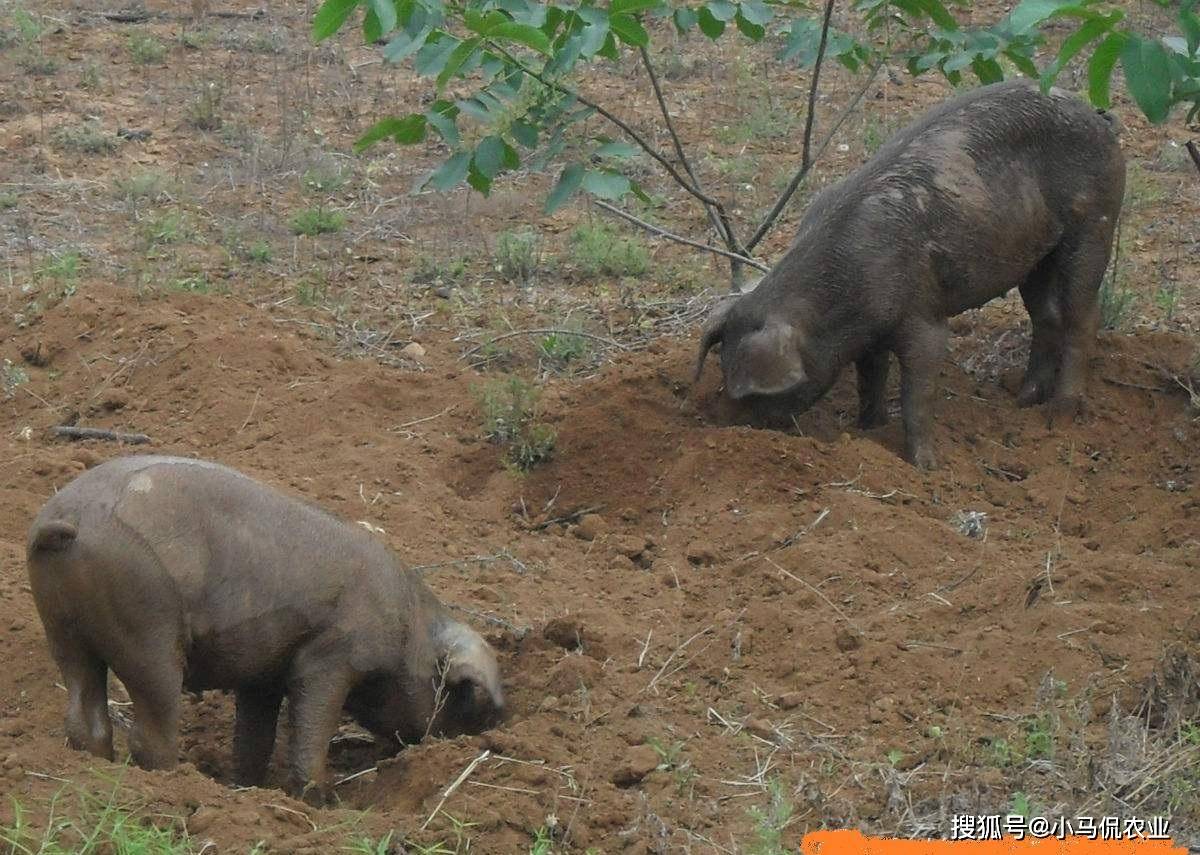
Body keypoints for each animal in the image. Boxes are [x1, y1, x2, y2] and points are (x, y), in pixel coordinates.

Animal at [24, 453, 501, 802]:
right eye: (461, 698)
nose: (492, 725)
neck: (410, 631)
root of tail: (72, 518)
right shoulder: (330, 657)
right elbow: (312, 721)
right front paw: (321, 799)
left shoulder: (262, 675)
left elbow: (255, 735)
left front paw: (247, 786)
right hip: (146, 629)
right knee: (150, 730)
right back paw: (182, 783)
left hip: (60, 627)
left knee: (84, 713)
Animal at [696, 79, 1123, 468]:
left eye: (752, 394)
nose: (725, 428)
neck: (840, 294)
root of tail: (1098, 117)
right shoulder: (870, 334)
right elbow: (870, 380)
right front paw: (867, 431)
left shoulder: (923, 314)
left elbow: (918, 390)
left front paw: (924, 466)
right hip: (1035, 256)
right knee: (1046, 315)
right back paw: (1022, 400)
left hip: (1095, 223)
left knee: (1083, 316)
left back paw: (1059, 415)